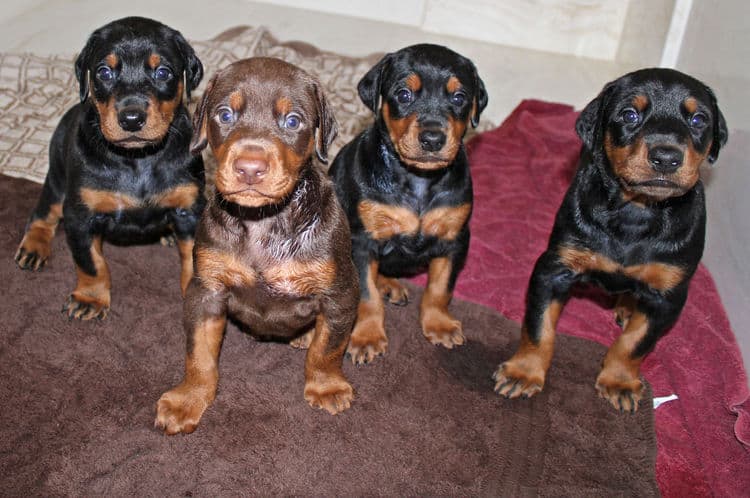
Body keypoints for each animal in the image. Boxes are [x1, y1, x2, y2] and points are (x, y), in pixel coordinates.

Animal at [14, 17, 207, 320]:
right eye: (104, 72)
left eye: (163, 72)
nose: (131, 118)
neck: (138, 158)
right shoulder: (80, 216)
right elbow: (91, 263)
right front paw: (90, 298)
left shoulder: (190, 208)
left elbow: (194, 256)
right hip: (57, 180)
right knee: (44, 213)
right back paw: (33, 246)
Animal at [155, 56, 358, 434]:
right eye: (224, 115)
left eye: (292, 121)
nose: (250, 168)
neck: (262, 222)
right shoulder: (206, 290)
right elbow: (198, 353)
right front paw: (188, 398)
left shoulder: (340, 293)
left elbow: (328, 348)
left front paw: (326, 386)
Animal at [328, 44, 488, 364]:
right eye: (403, 94)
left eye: (459, 97)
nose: (432, 138)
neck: (419, 180)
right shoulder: (361, 240)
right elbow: (366, 294)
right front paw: (367, 337)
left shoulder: (455, 239)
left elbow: (440, 287)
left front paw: (439, 324)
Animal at [494, 69, 728, 412]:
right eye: (629, 114)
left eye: (698, 119)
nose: (666, 157)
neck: (637, 210)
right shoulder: (554, 268)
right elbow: (539, 326)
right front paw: (523, 372)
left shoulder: (669, 294)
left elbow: (637, 341)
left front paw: (619, 381)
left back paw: (629, 307)